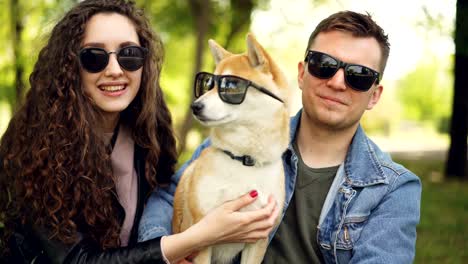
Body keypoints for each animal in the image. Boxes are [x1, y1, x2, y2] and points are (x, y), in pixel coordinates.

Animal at [172, 34, 288, 264]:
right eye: (208, 84)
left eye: (231, 86)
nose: (195, 106)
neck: (244, 159)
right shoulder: (202, 237)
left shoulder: (258, 240)